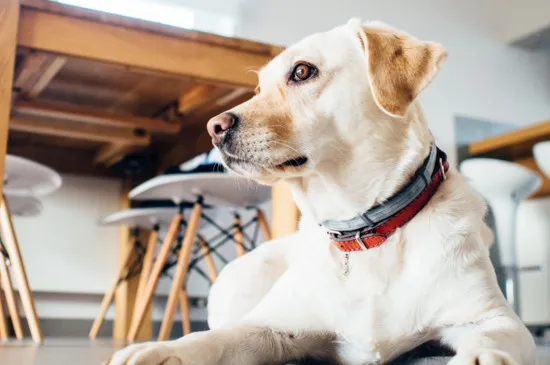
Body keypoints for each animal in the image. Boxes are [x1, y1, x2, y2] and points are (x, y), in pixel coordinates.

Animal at [108, 19, 540, 364]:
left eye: (302, 71)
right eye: (258, 87)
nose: (214, 128)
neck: (364, 231)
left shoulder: (492, 316)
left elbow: (491, 337)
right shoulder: (271, 325)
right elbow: (215, 339)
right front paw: (162, 350)